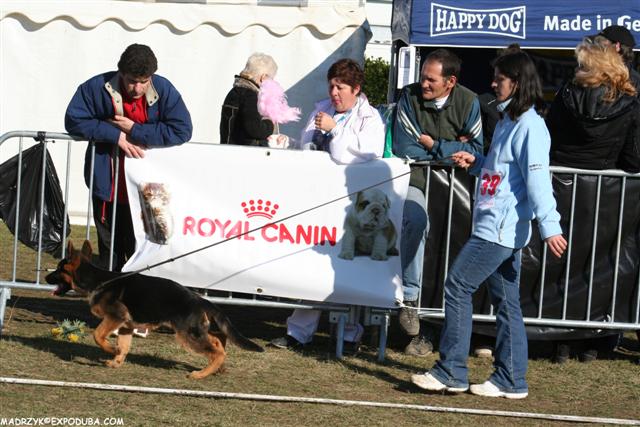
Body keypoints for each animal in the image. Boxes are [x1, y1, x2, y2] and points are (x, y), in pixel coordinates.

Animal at [46, 242, 264, 380]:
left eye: (58, 269)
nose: (46, 277)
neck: (98, 280)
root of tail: (200, 299)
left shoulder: (115, 317)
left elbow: (97, 335)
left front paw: (112, 350)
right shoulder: (125, 326)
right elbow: (124, 345)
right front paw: (117, 360)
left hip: (187, 334)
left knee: (217, 351)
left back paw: (201, 374)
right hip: (195, 330)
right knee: (219, 340)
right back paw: (216, 369)